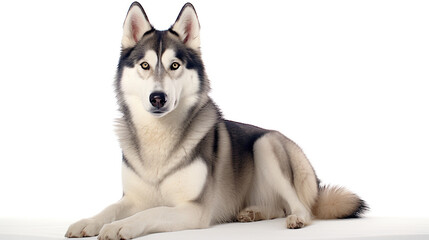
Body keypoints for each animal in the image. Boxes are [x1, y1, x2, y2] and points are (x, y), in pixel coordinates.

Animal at [65, 2, 366, 240]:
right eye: (145, 65)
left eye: (175, 65)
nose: (158, 98)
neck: (158, 140)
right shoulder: (133, 198)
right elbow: (110, 208)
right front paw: (88, 222)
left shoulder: (193, 209)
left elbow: (153, 212)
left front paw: (121, 227)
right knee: (278, 207)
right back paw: (253, 213)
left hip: (266, 145)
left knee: (300, 206)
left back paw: (297, 218)